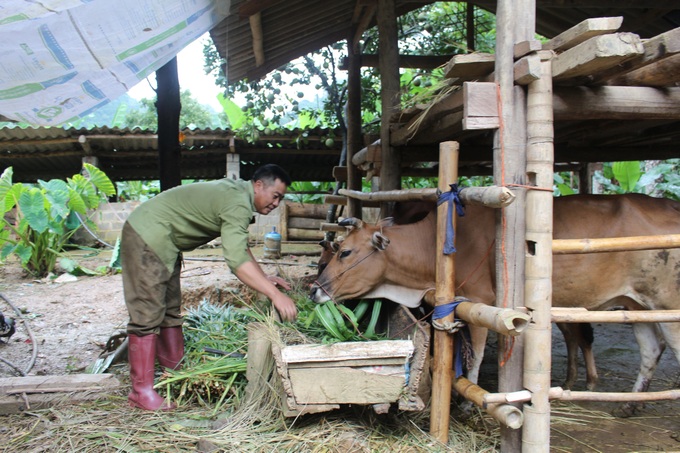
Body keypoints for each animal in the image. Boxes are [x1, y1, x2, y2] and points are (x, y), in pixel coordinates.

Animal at [310, 192, 676, 414]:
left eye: (345, 252)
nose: (315, 291)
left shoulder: (480, 303)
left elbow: (475, 356)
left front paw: (468, 403)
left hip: (668, 303)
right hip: (636, 305)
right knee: (651, 349)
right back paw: (629, 405)